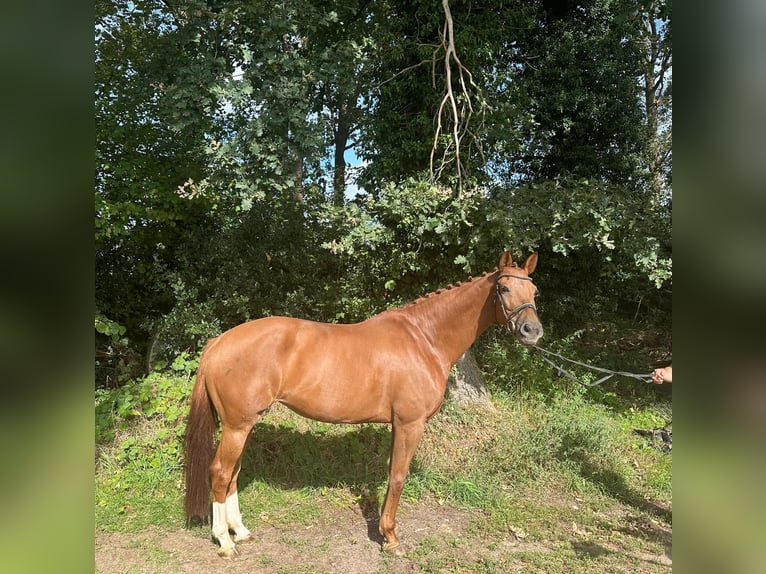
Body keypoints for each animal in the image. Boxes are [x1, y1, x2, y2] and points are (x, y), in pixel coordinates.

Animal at [184, 251, 543, 558]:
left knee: (233, 474)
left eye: (534, 290)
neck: (424, 340)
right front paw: (391, 538)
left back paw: (241, 532)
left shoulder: (398, 425)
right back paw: (225, 542)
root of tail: (219, 341)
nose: (532, 331)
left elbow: (392, 474)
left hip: (244, 425)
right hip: (237, 426)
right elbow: (398, 476)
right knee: (220, 473)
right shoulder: (410, 424)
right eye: (503, 287)